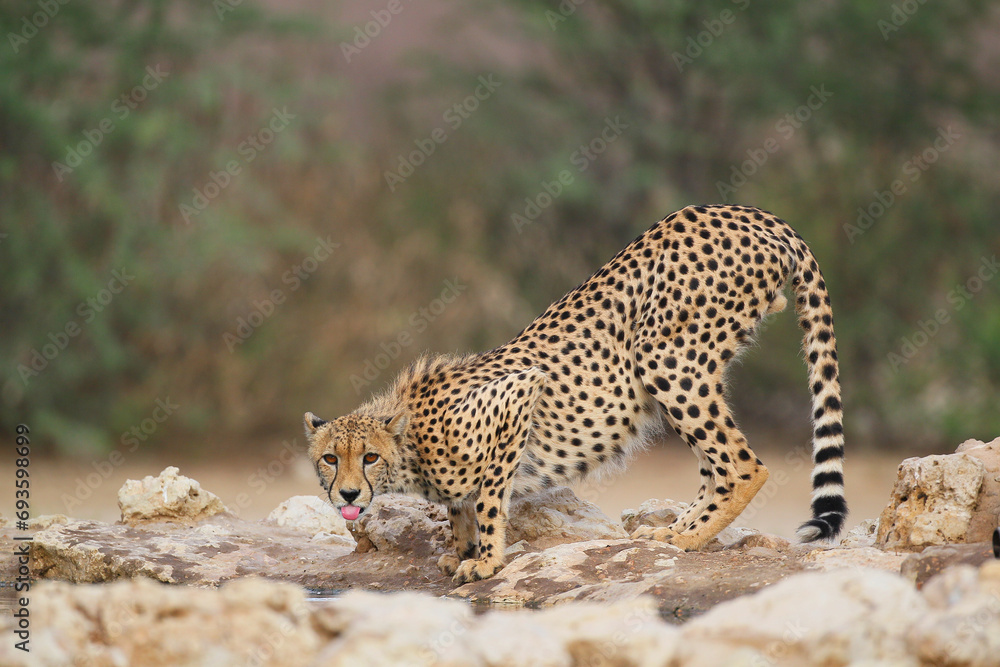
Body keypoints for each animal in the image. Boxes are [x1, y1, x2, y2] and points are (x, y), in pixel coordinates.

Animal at [305, 204, 847, 584]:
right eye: (330, 459)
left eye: (369, 457)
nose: (348, 494)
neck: (411, 441)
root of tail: (752, 212)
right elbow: (459, 507)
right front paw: (459, 551)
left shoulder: (517, 394)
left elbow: (487, 500)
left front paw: (484, 561)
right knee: (714, 465)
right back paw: (670, 530)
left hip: (665, 358)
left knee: (743, 465)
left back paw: (689, 539)